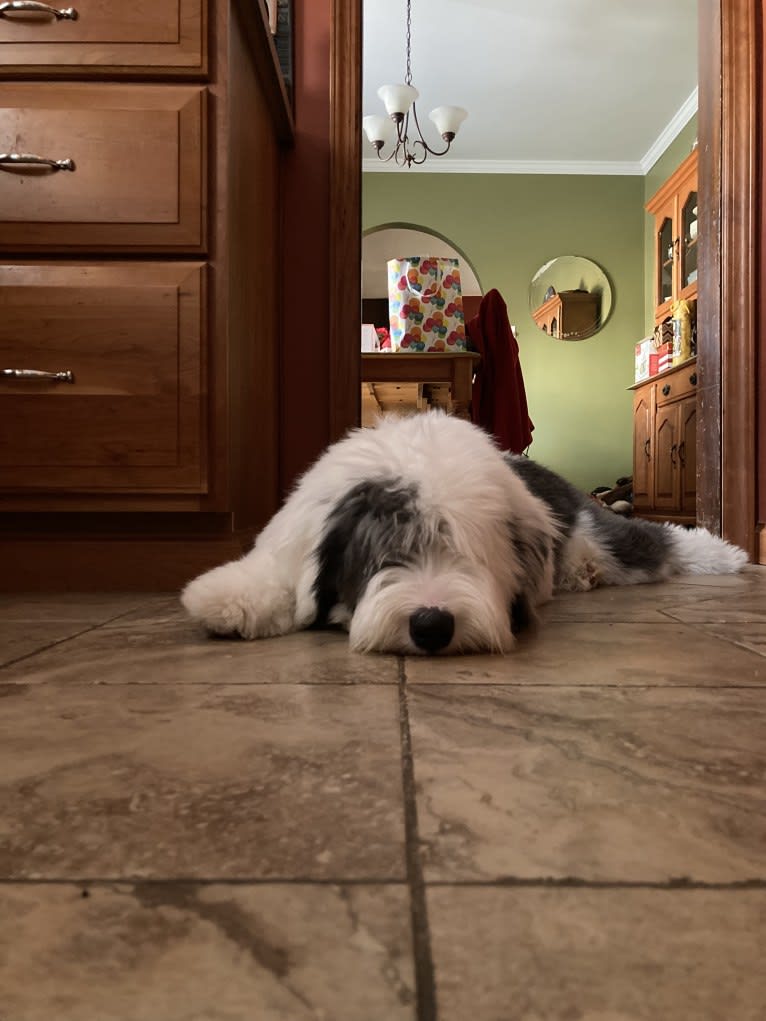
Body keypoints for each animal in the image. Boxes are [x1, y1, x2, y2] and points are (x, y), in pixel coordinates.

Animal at [181, 412, 751, 657]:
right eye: (385, 555)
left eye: (470, 554)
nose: (431, 625)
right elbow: (272, 573)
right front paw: (227, 601)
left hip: (599, 530)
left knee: (654, 542)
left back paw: (726, 551)